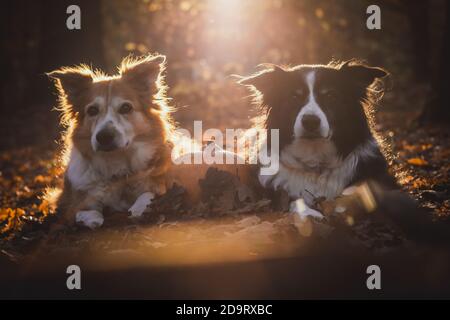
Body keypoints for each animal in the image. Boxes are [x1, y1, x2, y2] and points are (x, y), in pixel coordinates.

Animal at [48, 53, 173, 229]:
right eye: (92, 110)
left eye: (126, 107)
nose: (104, 137)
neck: (116, 164)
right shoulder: (72, 201)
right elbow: (84, 210)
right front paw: (93, 219)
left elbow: (147, 194)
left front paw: (138, 208)